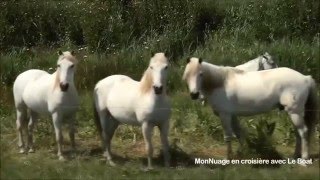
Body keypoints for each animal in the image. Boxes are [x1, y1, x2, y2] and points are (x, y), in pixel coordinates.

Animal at [184, 57, 318, 160]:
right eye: (187, 75)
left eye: (201, 74)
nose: (194, 94)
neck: (220, 82)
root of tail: (306, 78)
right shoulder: (232, 115)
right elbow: (239, 133)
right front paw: (241, 153)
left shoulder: (225, 115)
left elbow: (228, 136)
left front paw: (228, 158)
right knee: (298, 133)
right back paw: (295, 156)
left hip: (295, 112)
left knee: (303, 132)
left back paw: (304, 158)